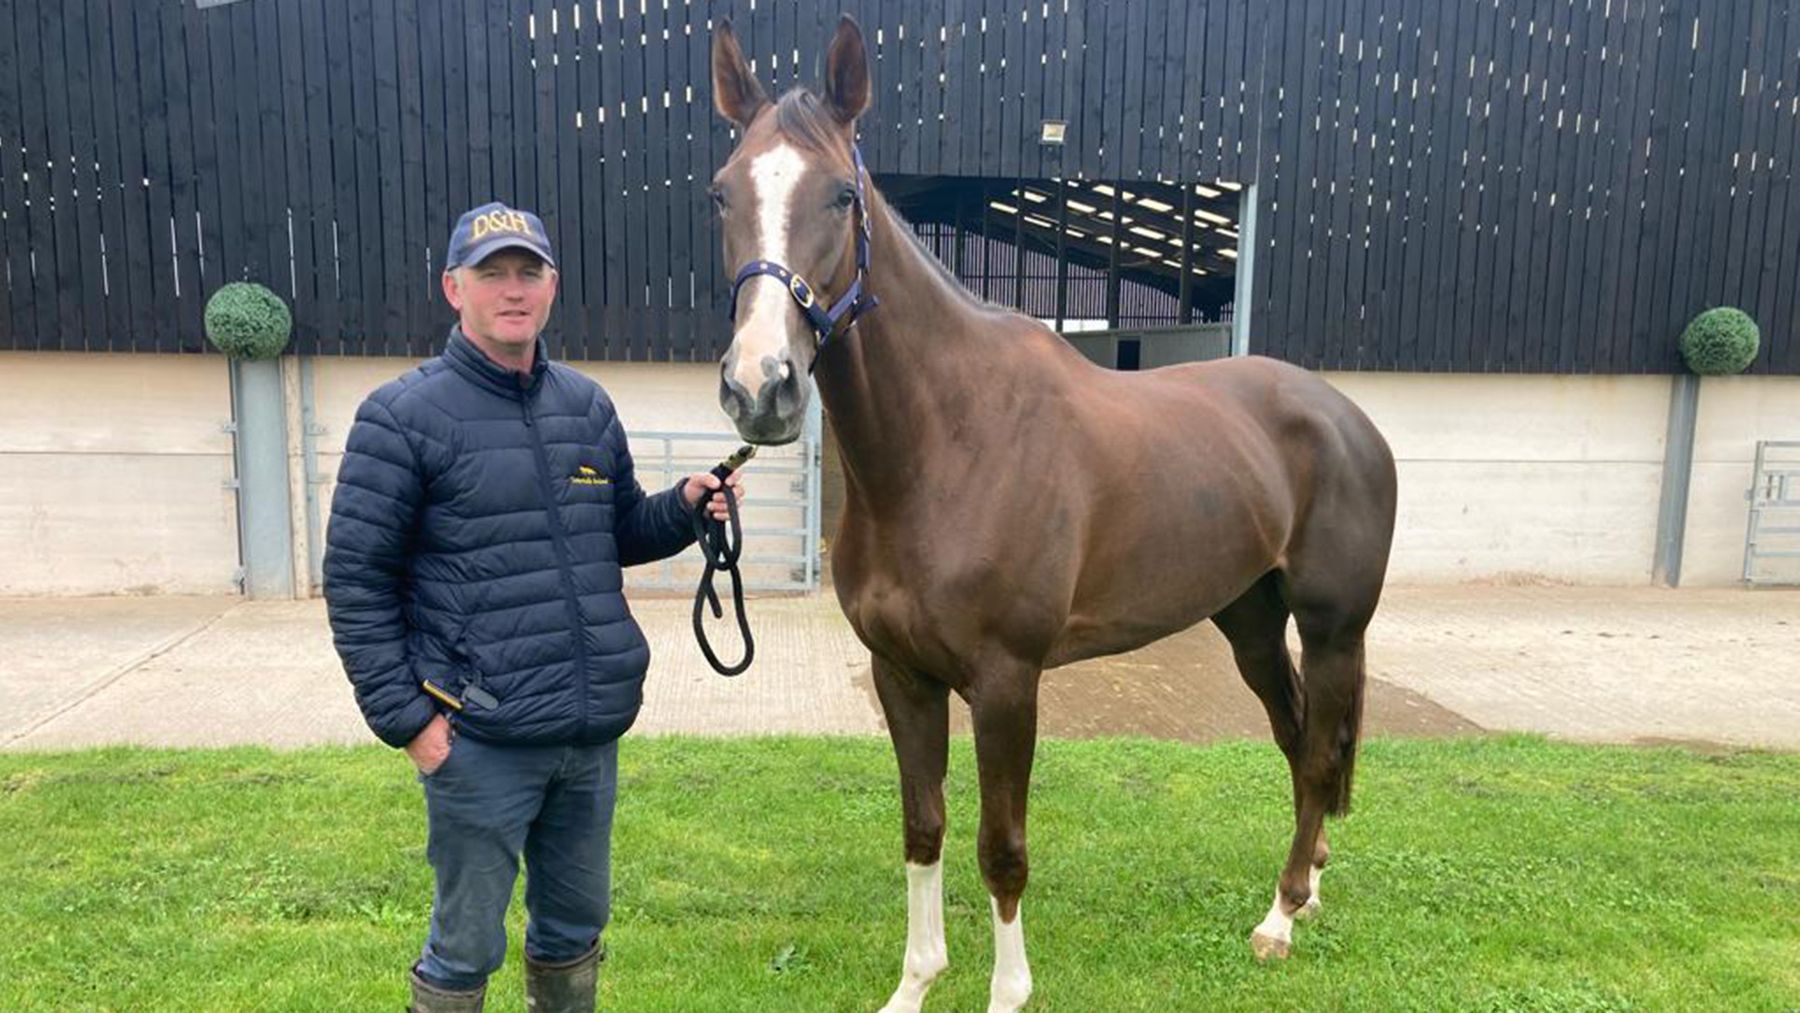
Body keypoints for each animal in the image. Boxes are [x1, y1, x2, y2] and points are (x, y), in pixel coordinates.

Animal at [709, 15, 1396, 1013]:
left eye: (841, 194)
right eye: (723, 192)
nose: (761, 386)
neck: (949, 444)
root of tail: (1347, 417)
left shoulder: (1007, 681)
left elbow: (1001, 849)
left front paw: (1006, 990)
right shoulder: (901, 676)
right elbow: (923, 828)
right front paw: (915, 983)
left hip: (1333, 627)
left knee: (1315, 754)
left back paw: (1279, 918)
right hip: (1251, 623)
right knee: (1299, 735)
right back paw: (1306, 887)